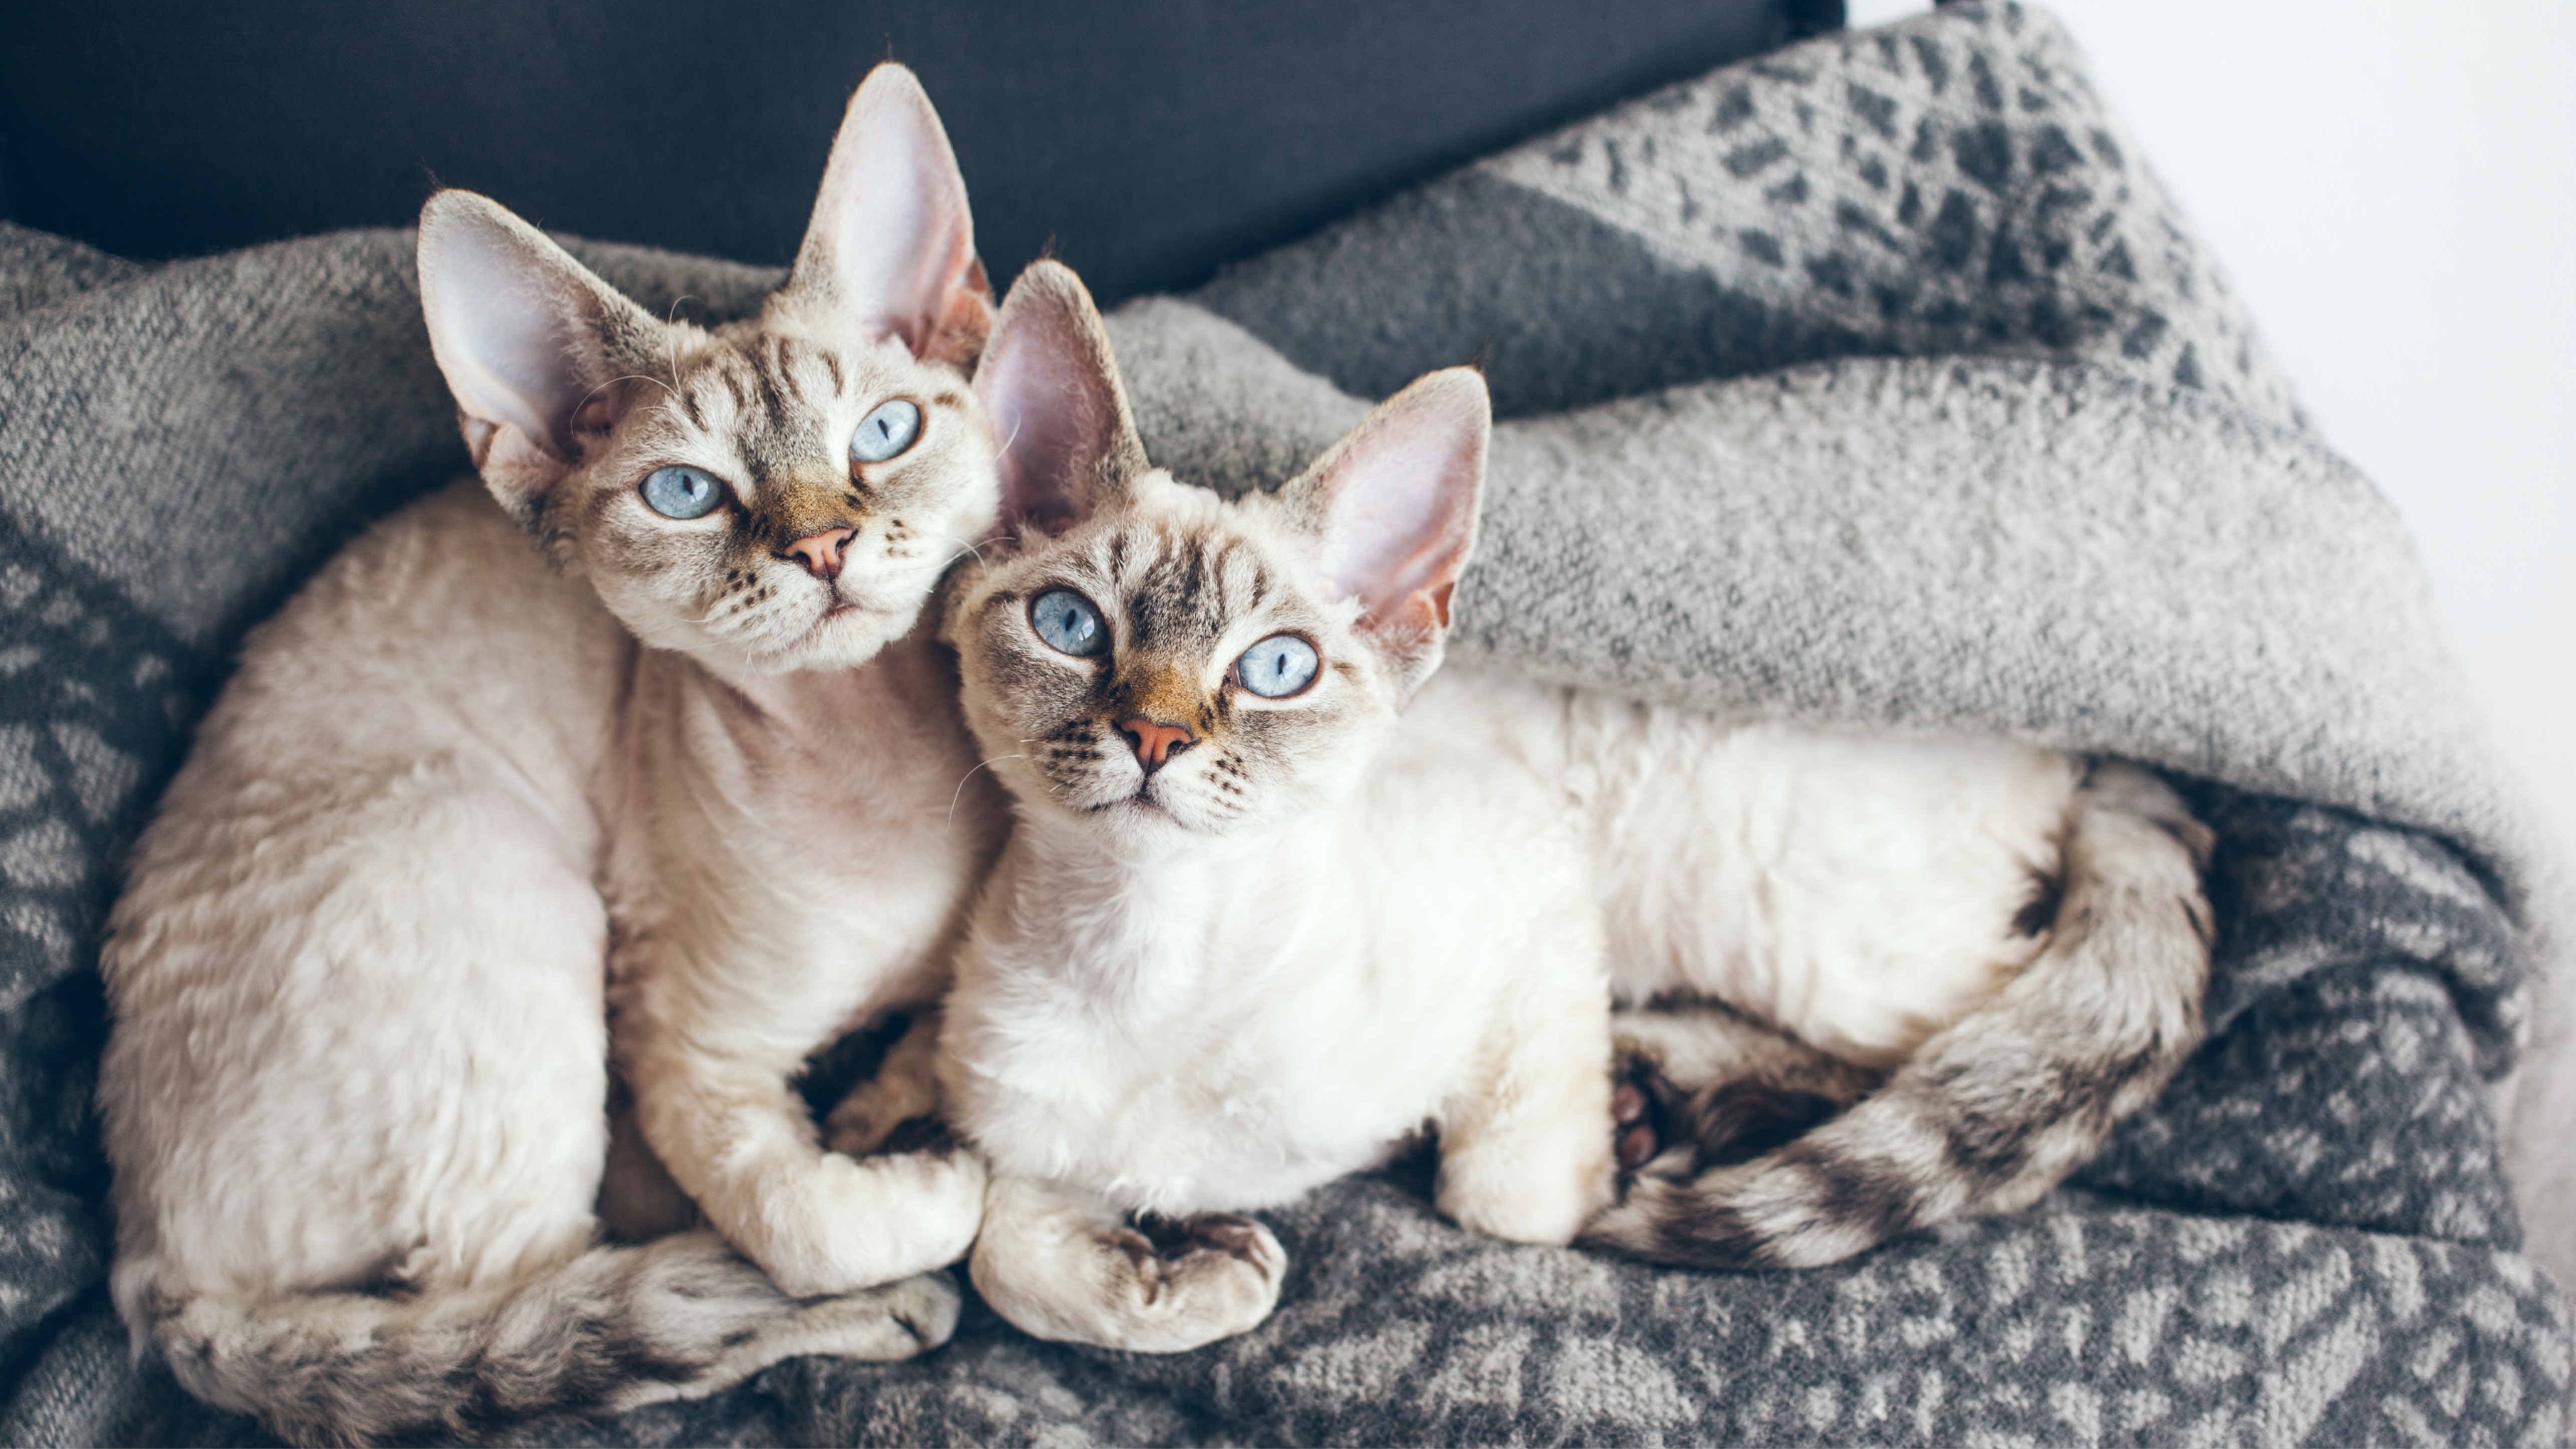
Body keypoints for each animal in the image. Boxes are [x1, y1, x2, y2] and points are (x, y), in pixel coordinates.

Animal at [98, 62, 1005, 1441]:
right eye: (684, 494)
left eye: (887, 433)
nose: (823, 546)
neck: (880, 769)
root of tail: (142, 1250)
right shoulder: (691, 1058)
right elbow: (809, 1222)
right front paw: (935, 1183)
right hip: (501, 874)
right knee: (542, 1326)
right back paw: (870, 1302)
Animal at [891, 257, 2215, 1348]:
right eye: (1070, 625)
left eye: (1275, 667)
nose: (1157, 736)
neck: (1150, 954)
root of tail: (2079, 742)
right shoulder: (1007, 1121)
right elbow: (999, 1250)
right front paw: (1187, 1273)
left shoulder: (1530, 870)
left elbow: (1509, 1203)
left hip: (1786, 923)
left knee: (1973, 1042)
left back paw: (1669, 1095)